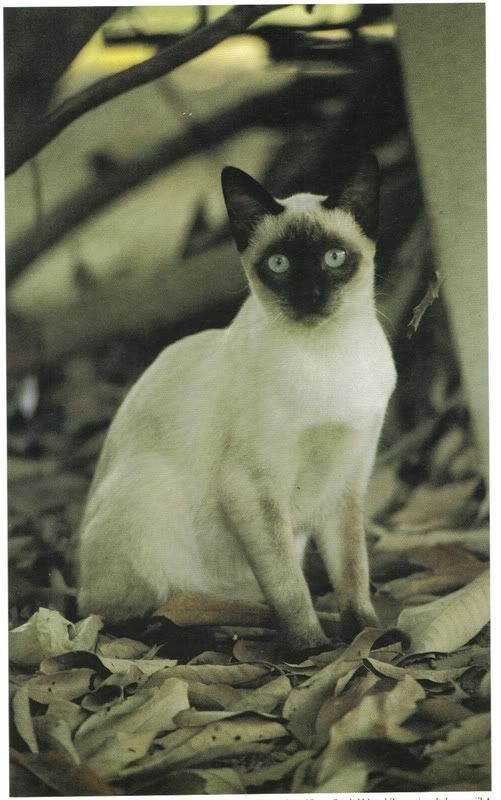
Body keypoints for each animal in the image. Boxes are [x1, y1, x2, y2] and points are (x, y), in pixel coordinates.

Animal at [77, 155, 394, 648]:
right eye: (279, 264)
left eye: (334, 257)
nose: (310, 297)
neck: (326, 354)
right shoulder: (252, 490)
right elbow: (290, 587)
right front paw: (312, 647)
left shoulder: (346, 483)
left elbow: (353, 573)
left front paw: (368, 636)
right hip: (148, 492)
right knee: (124, 612)